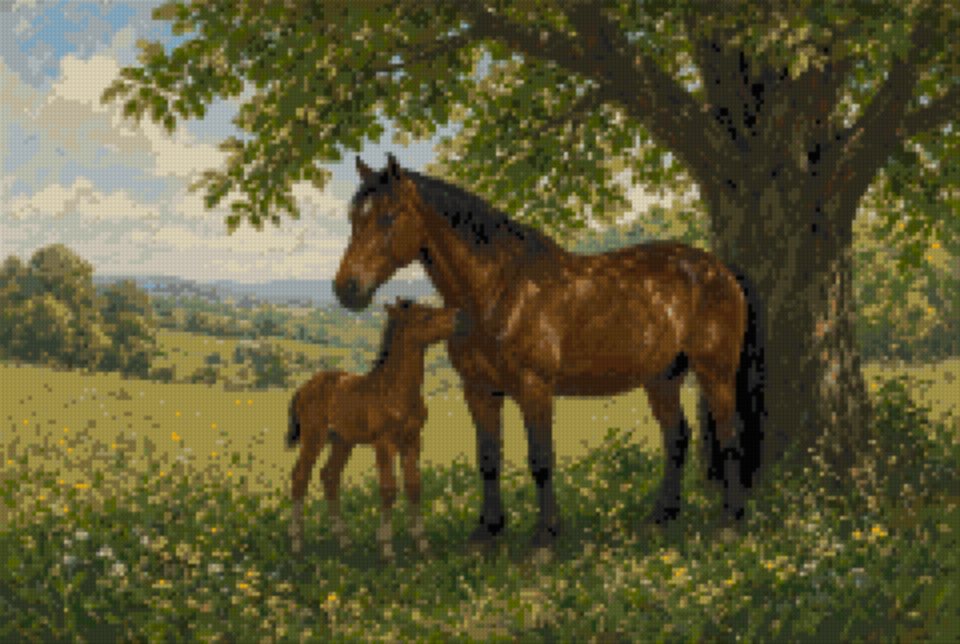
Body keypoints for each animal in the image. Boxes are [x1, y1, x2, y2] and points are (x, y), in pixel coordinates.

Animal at [286, 298, 464, 560]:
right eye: (426, 317)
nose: (460, 317)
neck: (395, 391)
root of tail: (304, 388)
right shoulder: (384, 443)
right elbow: (388, 489)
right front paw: (387, 548)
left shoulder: (413, 441)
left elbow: (414, 486)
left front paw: (423, 544)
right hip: (314, 437)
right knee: (300, 476)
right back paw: (297, 543)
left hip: (342, 441)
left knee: (329, 476)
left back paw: (344, 541)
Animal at [334, 154, 766, 550]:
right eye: (354, 218)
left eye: (388, 217)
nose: (346, 289)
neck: (498, 291)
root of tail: (717, 270)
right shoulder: (479, 391)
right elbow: (488, 460)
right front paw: (486, 533)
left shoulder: (534, 388)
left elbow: (541, 460)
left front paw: (545, 538)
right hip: (662, 377)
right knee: (676, 438)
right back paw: (660, 519)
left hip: (714, 371)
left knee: (728, 434)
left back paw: (730, 520)